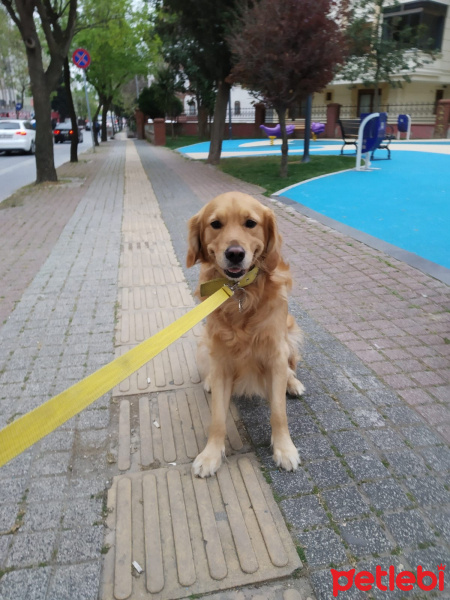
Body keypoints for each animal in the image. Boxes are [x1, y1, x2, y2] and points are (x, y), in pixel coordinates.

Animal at [185, 192, 304, 478]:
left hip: (291, 332)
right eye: (215, 224)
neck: (240, 293)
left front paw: (285, 449)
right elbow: (217, 418)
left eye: (250, 223)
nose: (235, 254)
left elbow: (279, 413)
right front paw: (211, 454)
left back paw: (292, 383)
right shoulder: (221, 357)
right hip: (204, 344)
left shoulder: (275, 353)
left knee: (290, 368)